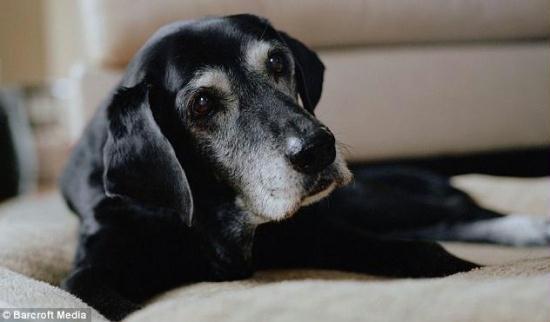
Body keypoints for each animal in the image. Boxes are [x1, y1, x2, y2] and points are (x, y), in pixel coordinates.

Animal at [58, 14, 548, 320]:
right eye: (200, 103)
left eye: (277, 61)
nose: (318, 150)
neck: (219, 214)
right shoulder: (93, 266)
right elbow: (97, 294)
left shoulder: (315, 230)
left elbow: (422, 251)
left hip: (367, 202)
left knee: (459, 210)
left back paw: (532, 228)